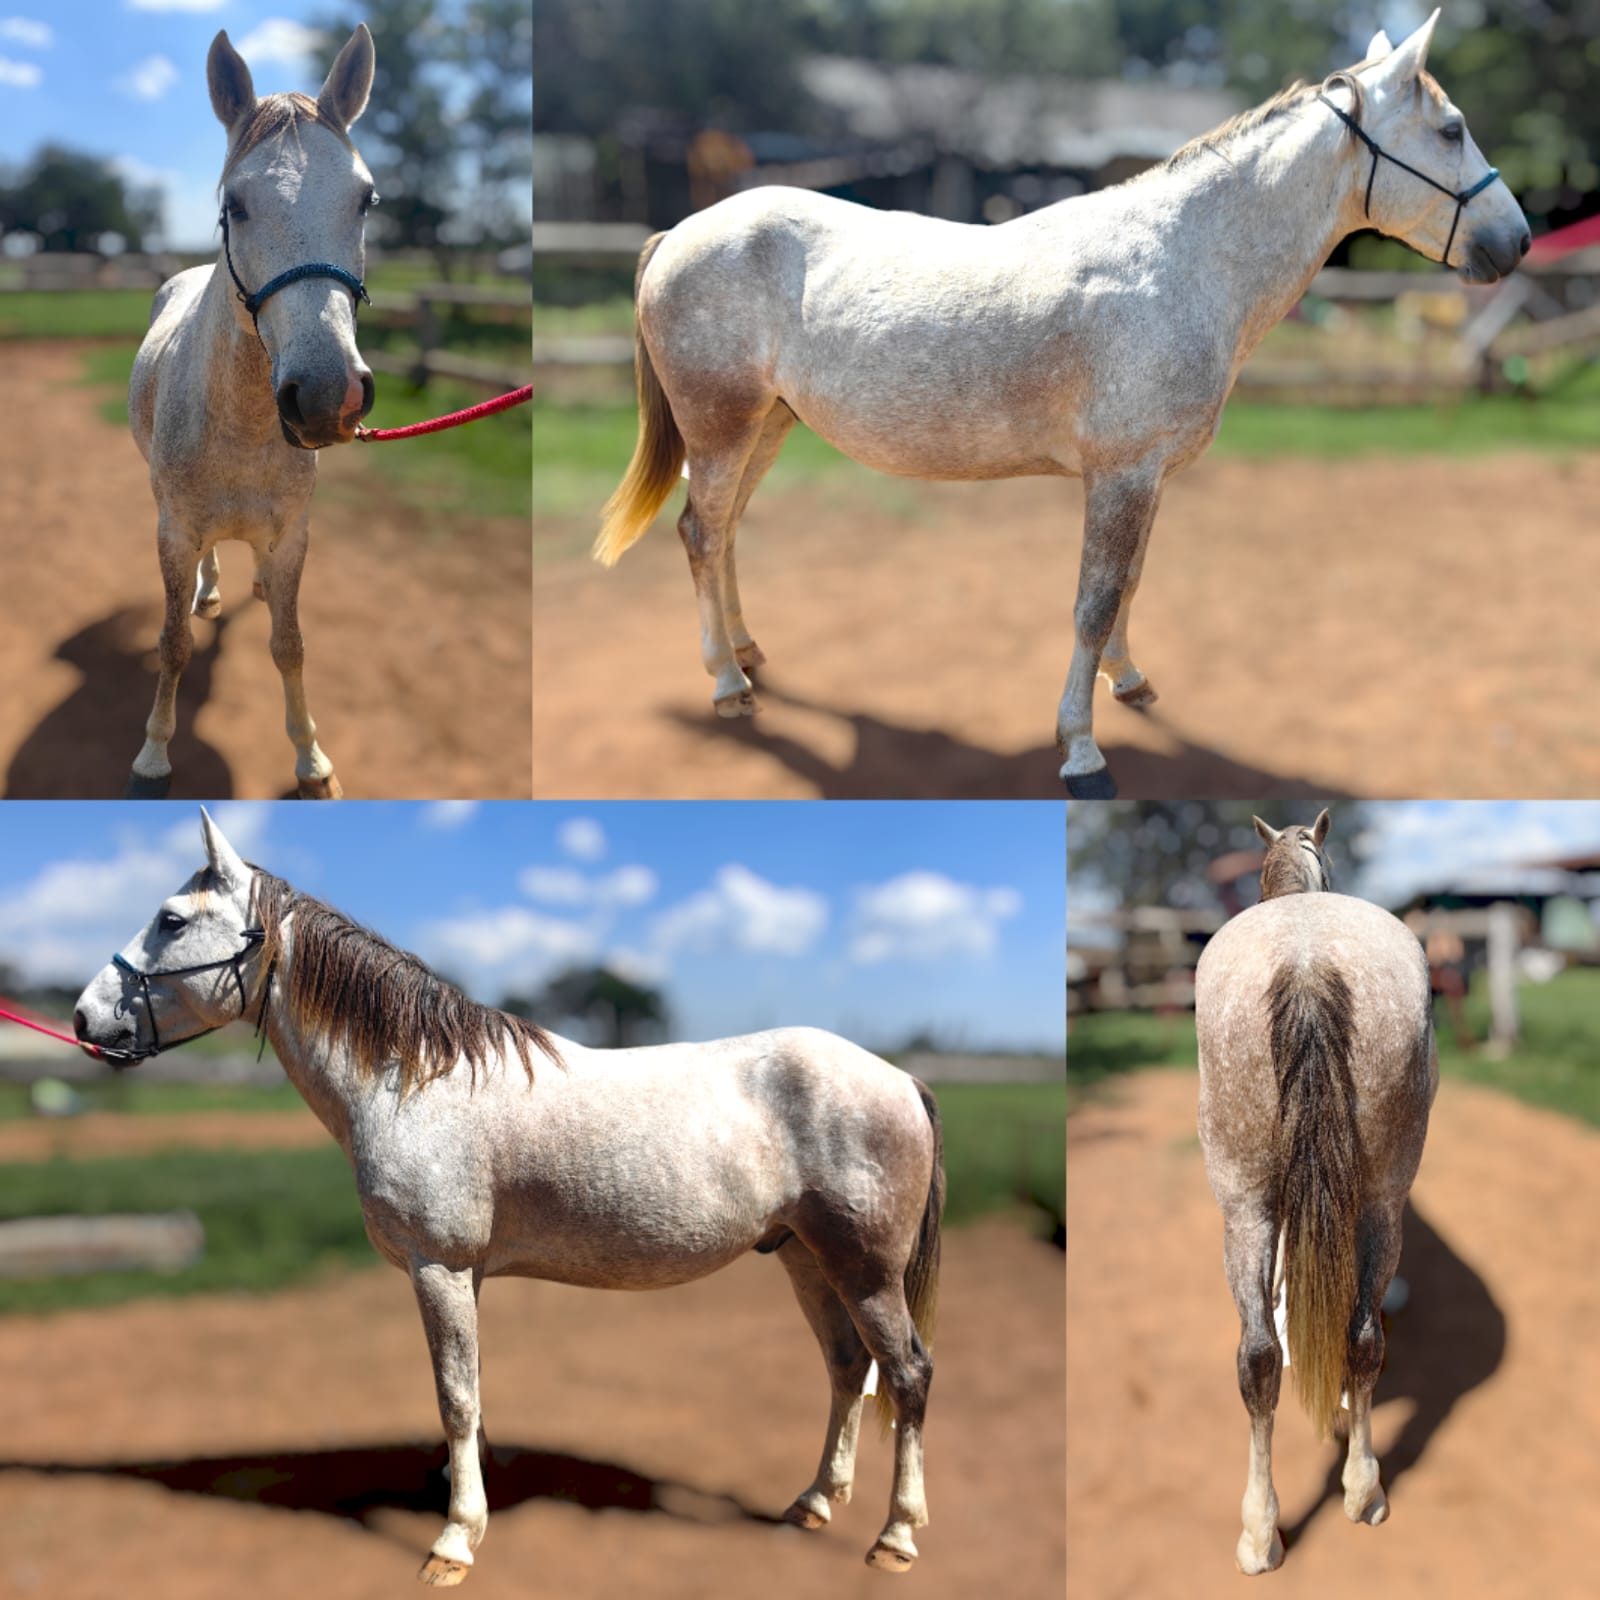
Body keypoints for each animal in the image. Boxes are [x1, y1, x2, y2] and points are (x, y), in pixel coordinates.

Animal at [72, 811, 945, 1587]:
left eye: (171, 919)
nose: (84, 1017)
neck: (412, 1078)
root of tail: (900, 1077)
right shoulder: (469, 1274)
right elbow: (472, 1394)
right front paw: (463, 1499)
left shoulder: (439, 1267)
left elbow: (456, 1397)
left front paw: (454, 1542)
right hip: (807, 1258)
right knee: (847, 1368)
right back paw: (814, 1503)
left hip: (867, 1269)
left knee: (906, 1375)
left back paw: (896, 1538)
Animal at [125, 27, 379, 800]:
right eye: (233, 205)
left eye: (366, 199)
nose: (327, 393)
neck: (240, 425)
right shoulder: (174, 531)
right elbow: (173, 641)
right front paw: (154, 754)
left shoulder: (294, 534)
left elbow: (290, 644)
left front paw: (311, 760)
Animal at [593, 12, 1527, 798]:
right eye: (1450, 129)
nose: (1514, 241)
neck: (1182, 258)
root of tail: (678, 234)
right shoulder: (1120, 473)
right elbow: (1094, 598)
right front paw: (1081, 750)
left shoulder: (1148, 475)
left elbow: (1131, 584)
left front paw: (1132, 681)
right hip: (722, 426)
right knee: (700, 532)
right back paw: (726, 685)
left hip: (767, 426)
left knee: (725, 534)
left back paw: (749, 655)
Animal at [1194, 810, 1437, 1574]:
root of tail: (1306, 963)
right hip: (1375, 1200)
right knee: (1347, 1341)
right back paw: (1357, 1495)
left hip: (1245, 1208)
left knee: (1262, 1355)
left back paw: (1262, 1532)